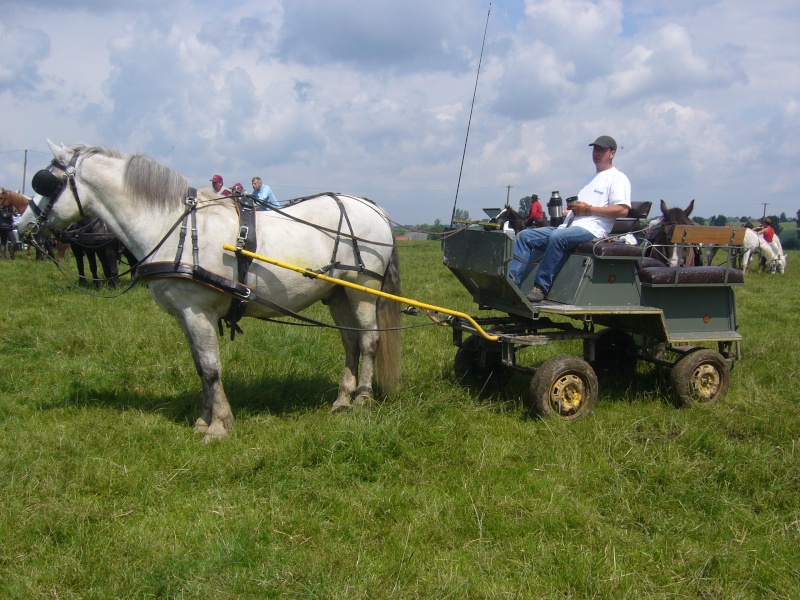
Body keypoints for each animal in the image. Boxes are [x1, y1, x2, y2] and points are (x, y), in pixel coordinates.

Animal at [18, 141, 404, 440]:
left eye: (46, 182)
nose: (24, 226)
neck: (176, 229)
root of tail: (372, 206)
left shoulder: (197, 310)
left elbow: (211, 367)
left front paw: (219, 425)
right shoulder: (184, 315)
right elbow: (199, 367)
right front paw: (204, 420)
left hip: (363, 289)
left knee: (369, 340)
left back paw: (363, 399)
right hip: (337, 293)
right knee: (350, 341)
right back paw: (342, 399)